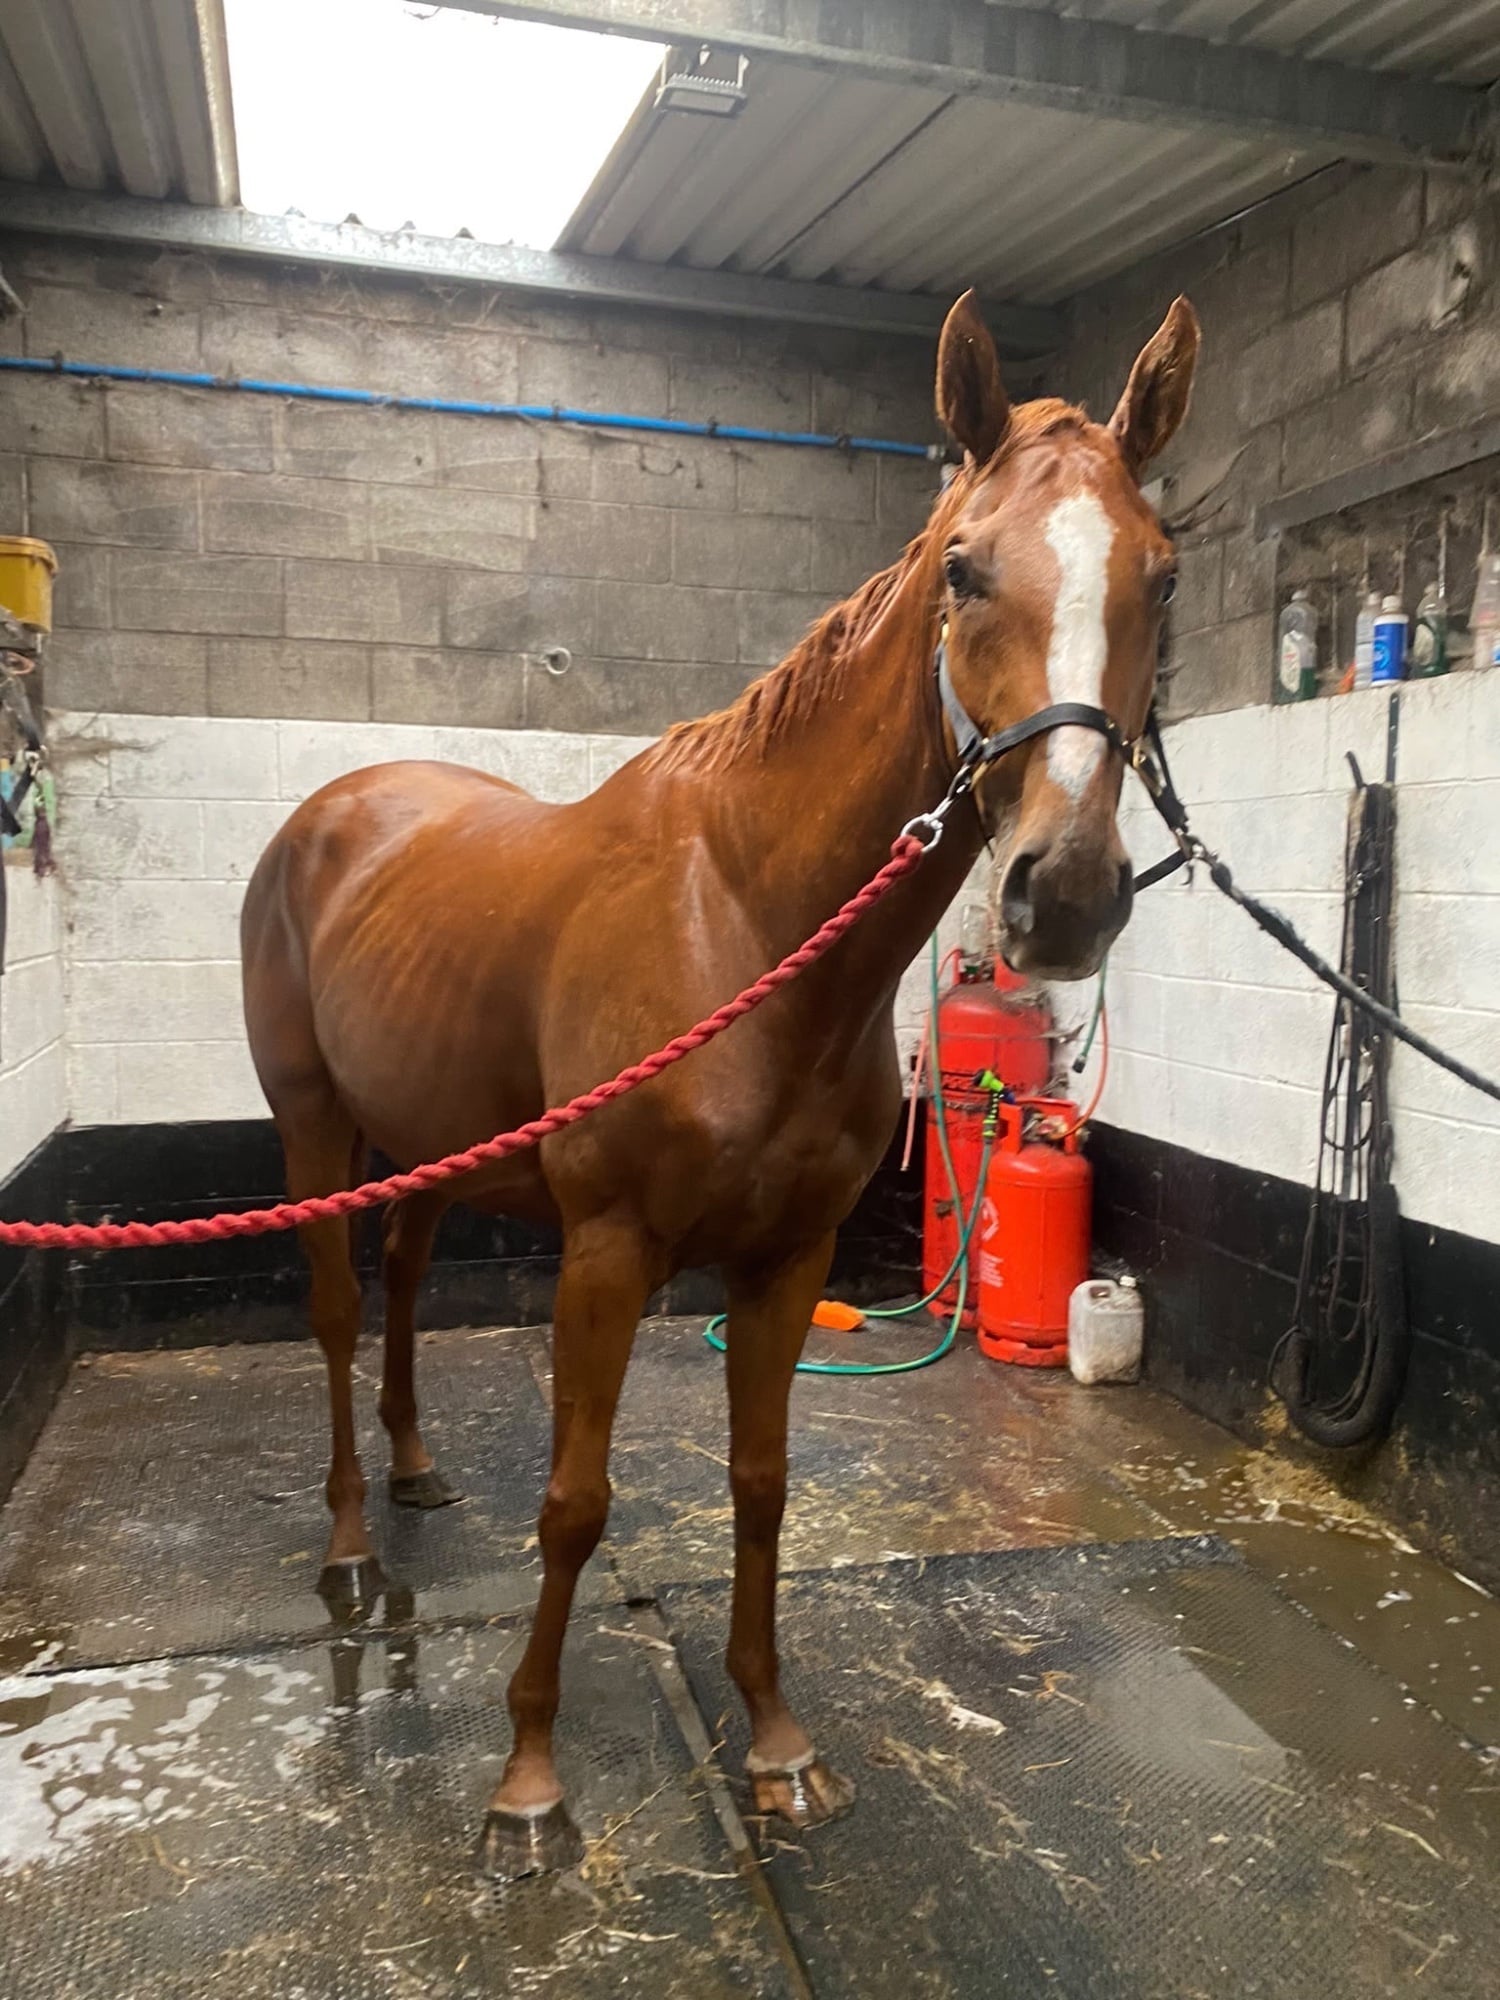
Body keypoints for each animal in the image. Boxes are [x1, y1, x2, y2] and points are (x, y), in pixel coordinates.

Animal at [240, 288, 1199, 1878]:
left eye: (1164, 578)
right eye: (962, 565)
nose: (1062, 893)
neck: (747, 919)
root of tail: (333, 808)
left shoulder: (786, 1256)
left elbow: (762, 1486)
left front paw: (776, 1744)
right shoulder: (608, 1252)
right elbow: (575, 1505)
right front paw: (527, 1786)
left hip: (434, 1143)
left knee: (404, 1283)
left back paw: (419, 1470)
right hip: (314, 1128)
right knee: (330, 1312)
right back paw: (352, 1549)